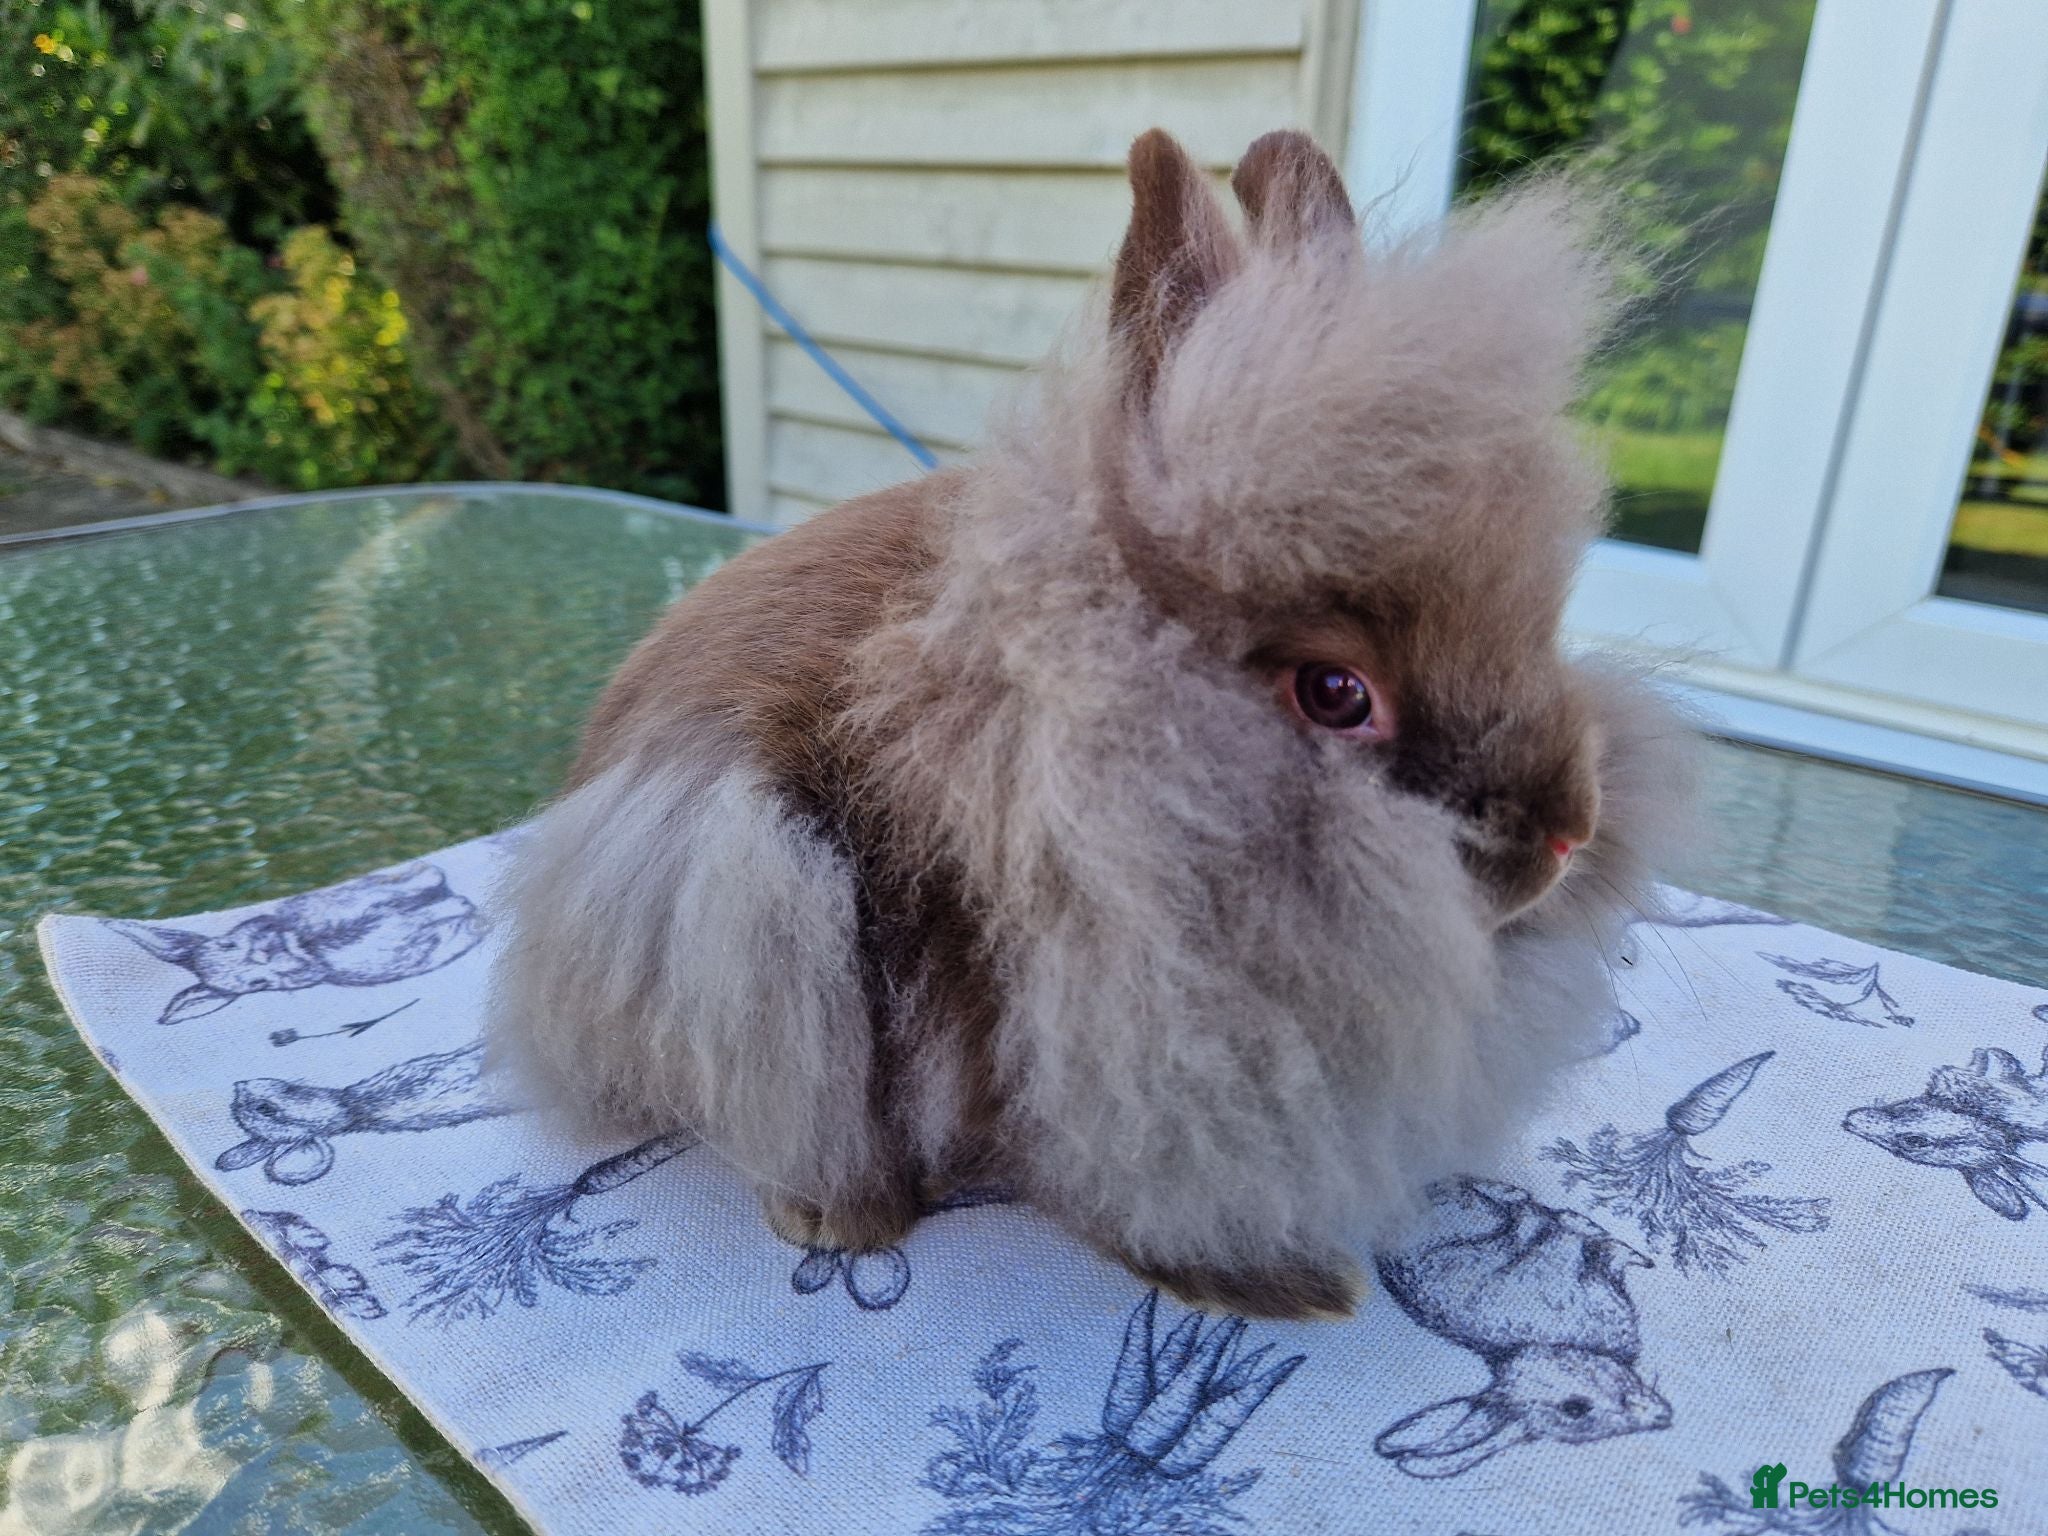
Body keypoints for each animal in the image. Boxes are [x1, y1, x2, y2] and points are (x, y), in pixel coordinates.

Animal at [113, 863, 481, 1026]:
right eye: (258, 985)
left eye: (226, 944)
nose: (264, 953)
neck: (308, 943)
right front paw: (463, 910)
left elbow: (415, 886)